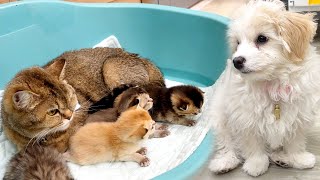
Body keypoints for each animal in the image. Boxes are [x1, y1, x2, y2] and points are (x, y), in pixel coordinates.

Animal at [209, 0, 320, 177]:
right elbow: (252, 142)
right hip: (219, 116)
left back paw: (282, 158)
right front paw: (256, 163)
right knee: (226, 142)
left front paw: (298, 157)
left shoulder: (299, 114)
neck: (272, 82)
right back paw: (225, 161)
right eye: (238, 43)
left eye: (262, 39)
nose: (236, 61)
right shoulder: (244, 118)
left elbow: (295, 140)